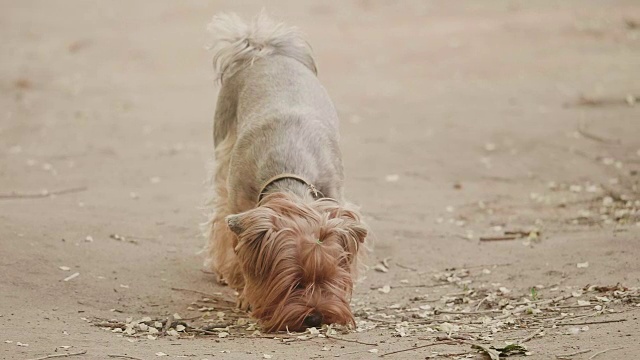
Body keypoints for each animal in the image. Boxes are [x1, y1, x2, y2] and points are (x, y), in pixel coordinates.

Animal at [202, 11, 368, 332]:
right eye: (294, 282)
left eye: (330, 278)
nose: (316, 317)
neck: (290, 171)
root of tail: (263, 49)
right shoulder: (240, 206)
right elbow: (239, 249)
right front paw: (248, 294)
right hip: (223, 148)